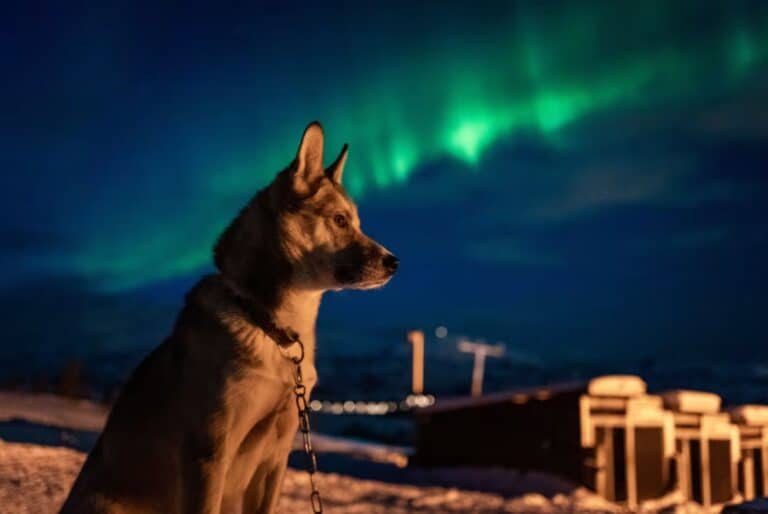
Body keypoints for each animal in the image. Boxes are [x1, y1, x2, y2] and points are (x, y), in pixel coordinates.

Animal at [60, 122, 400, 510]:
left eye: (356, 223)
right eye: (340, 220)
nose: (394, 263)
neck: (271, 327)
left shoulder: (276, 457)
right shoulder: (210, 454)